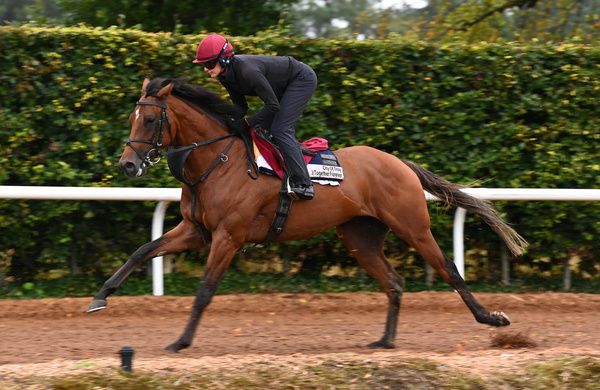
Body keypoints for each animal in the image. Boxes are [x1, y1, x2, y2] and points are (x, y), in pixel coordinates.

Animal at [86, 77, 528, 352]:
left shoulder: (229, 236)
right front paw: (100, 297)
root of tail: (398, 162)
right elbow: (142, 251)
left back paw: (492, 319)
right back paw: (385, 341)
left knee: (449, 269)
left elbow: (204, 291)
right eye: (132, 117)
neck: (218, 160)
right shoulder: (197, 230)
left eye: (150, 118)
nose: (128, 165)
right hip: (359, 237)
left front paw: (181, 341)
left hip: (412, 226)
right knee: (394, 282)